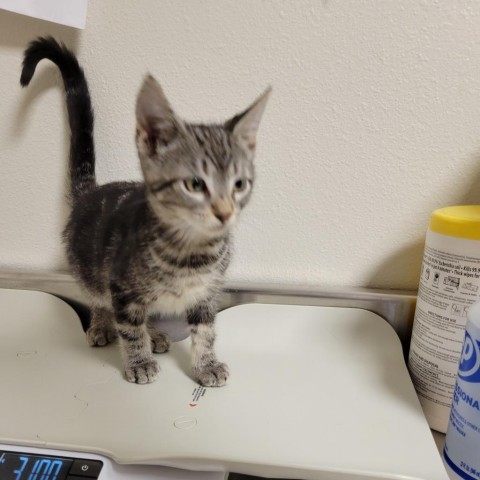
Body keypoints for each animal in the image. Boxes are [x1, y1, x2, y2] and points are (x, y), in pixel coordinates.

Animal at [21, 39, 270, 388]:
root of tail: (90, 192)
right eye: (195, 184)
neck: (192, 250)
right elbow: (129, 328)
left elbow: (205, 330)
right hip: (90, 269)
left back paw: (156, 334)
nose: (225, 213)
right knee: (101, 301)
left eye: (239, 185)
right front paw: (139, 361)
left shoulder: (206, 293)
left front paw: (205, 364)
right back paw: (102, 325)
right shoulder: (122, 288)